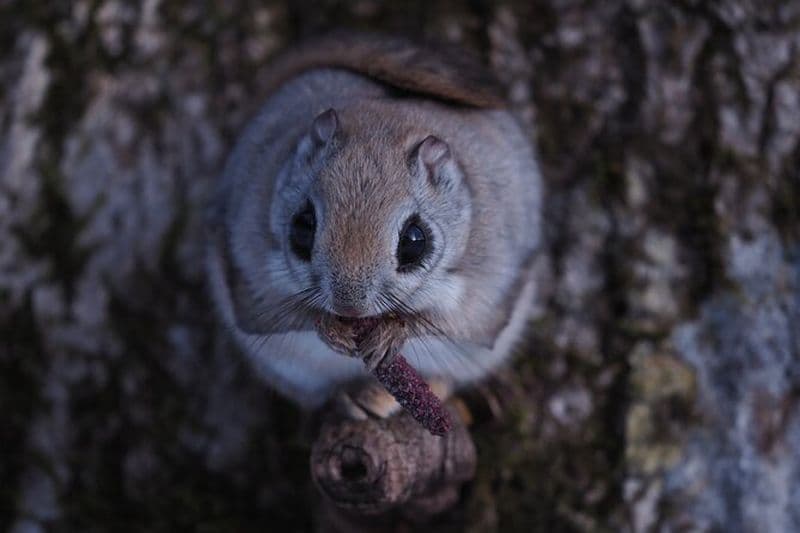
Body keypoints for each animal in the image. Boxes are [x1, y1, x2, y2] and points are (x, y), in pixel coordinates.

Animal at [206, 30, 543, 418]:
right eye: (302, 228)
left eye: (415, 241)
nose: (348, 307)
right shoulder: (252, 267)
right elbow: (280, 314)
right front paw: (330, 329)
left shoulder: (488, 281)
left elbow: (454, 323)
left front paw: (392, 332)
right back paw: (353, 398)